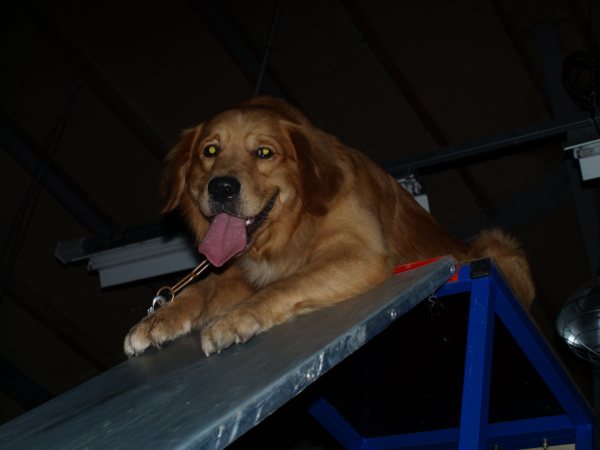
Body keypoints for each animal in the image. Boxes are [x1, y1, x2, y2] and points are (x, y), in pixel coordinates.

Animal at [124, 96, 535, 357]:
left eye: (264, 153)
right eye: (209, 151)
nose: (222, 188)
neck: (294, 224)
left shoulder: (361, 252)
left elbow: (285, 284)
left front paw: (235, 318)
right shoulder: (243, 272)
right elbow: (202, 289)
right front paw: (158, 319)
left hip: (495, 246)